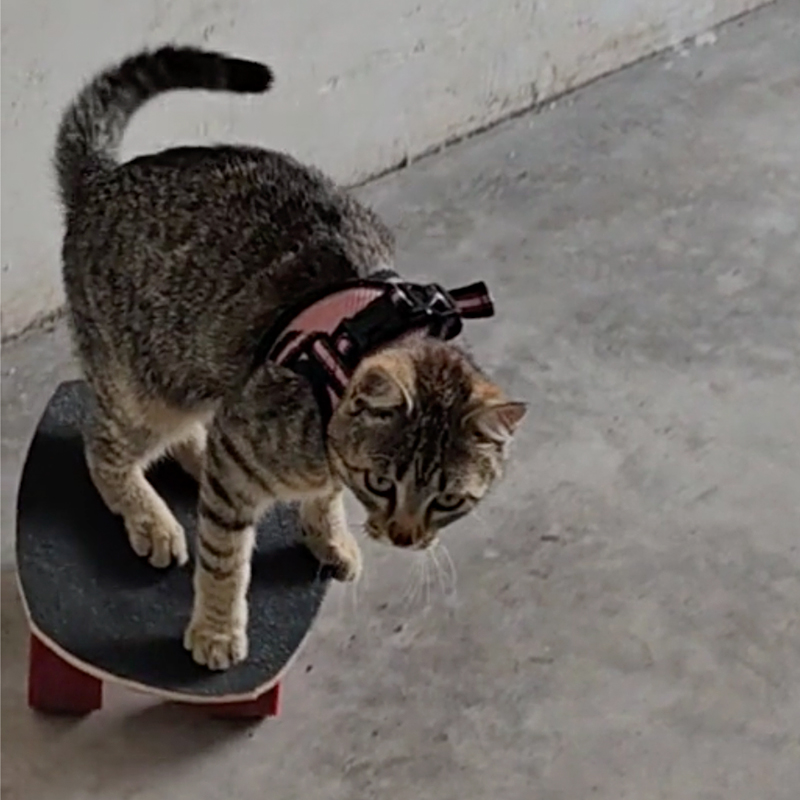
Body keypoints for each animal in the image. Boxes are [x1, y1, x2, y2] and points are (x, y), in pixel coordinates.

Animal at [56, 43, 524, 668]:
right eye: (383, 483)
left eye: (449, 499)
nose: (403, 536)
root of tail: (102, 178)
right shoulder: (244, 453)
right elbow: (225, 560)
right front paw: (217, 630)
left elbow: (324, 496)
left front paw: (328, 534)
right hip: (148, 388)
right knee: (103, 446)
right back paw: (149, 517)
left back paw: (198, 458)